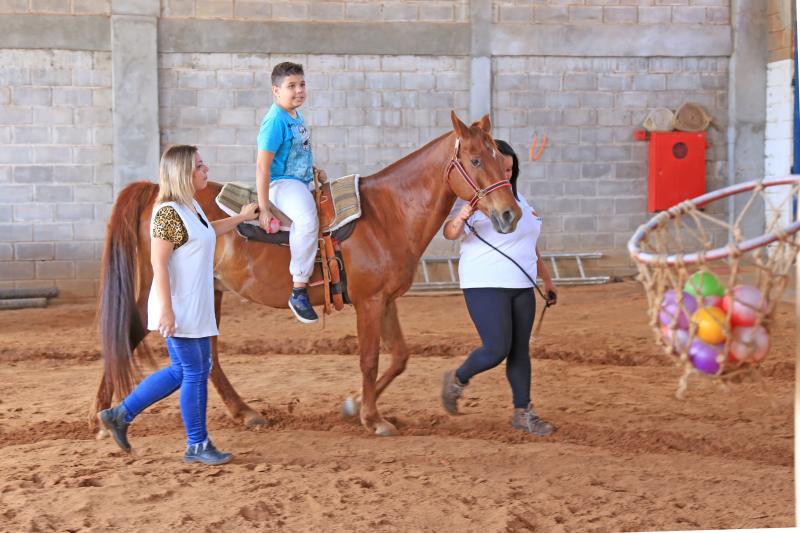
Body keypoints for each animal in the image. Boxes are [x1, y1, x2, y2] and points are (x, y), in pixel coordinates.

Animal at [94, 110, 520, 434]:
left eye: (503, 161)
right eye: (476, 160)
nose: (509, 214)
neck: (388, 213)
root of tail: (157, 191)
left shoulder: (385, 300)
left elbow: (399, 355)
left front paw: (353, 406)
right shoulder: (369, 302)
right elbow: (369, 358)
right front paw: (373, 419)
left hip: (208, 291)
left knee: (208, 354)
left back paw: (244, 412)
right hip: (160, 290)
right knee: (127, 333)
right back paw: (102, 416)